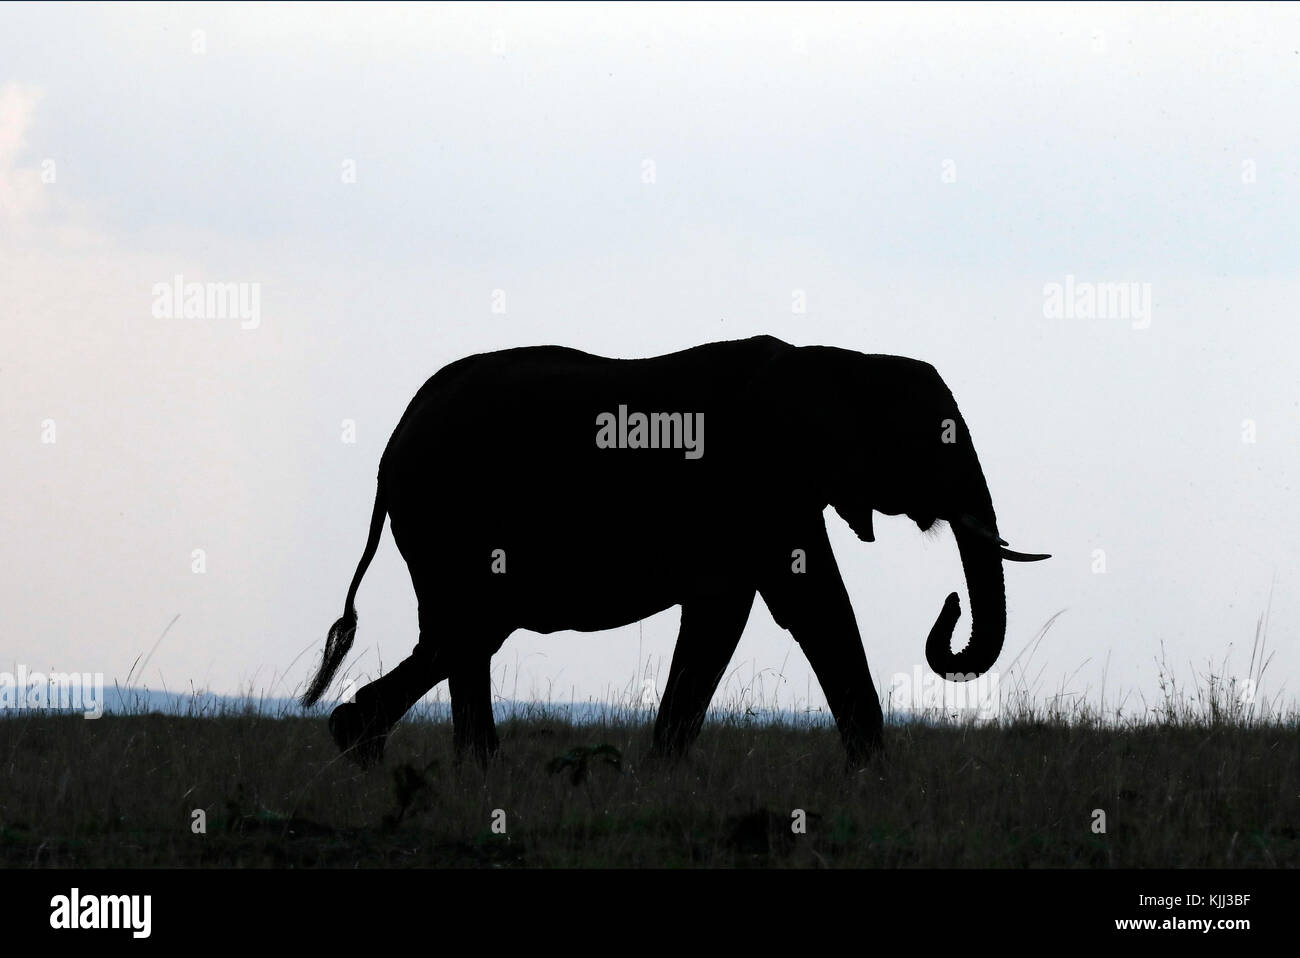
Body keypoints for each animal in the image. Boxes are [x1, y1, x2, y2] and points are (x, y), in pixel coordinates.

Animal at [301, 332, 1045, 764]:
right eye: (940, 440)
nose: (949, 605)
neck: (839, 361)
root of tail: (393, 441)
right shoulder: (760, 484)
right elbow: (806, 608)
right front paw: (874, 774)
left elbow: (739, 613)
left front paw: (663, 769)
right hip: (448, 514)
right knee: (469, 630)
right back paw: (392, 749)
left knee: (459, 636)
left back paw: (406, 752)